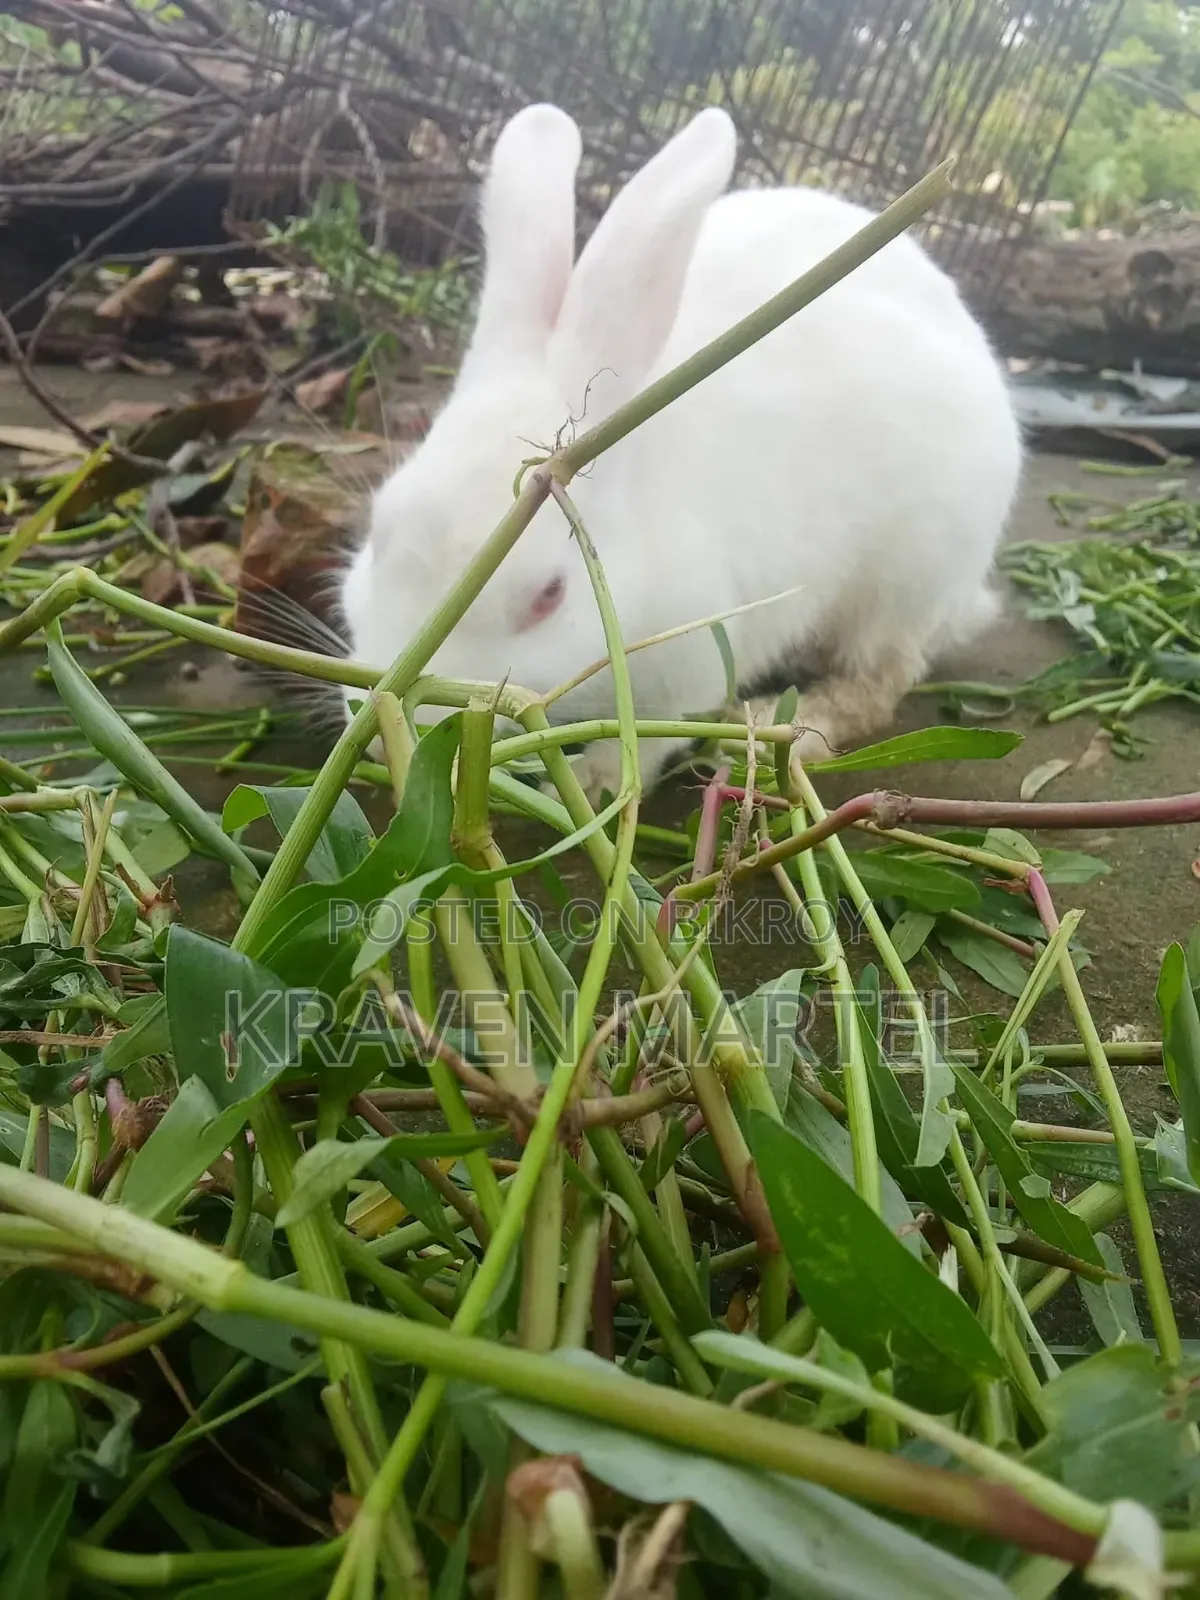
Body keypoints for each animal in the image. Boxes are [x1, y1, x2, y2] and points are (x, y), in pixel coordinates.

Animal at [339, 102, 1022, 803]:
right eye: (376, 534)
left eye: (549, 596)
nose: (387, 727)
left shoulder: (693, 659)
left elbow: (653, 736)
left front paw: (596, 782)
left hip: (907, 577)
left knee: (879, 680)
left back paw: (786, 727)